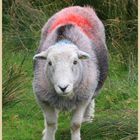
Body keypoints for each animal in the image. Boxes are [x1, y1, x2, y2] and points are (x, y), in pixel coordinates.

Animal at [32, 5, 108, 140]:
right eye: (49, 63)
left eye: (75, 61)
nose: (63, 87)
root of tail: (79, 7)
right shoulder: (43, 99)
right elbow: (51, 123)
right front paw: (48, 135)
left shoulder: (83, 99)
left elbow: (75, 124)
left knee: (91, 101)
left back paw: (87, 119)